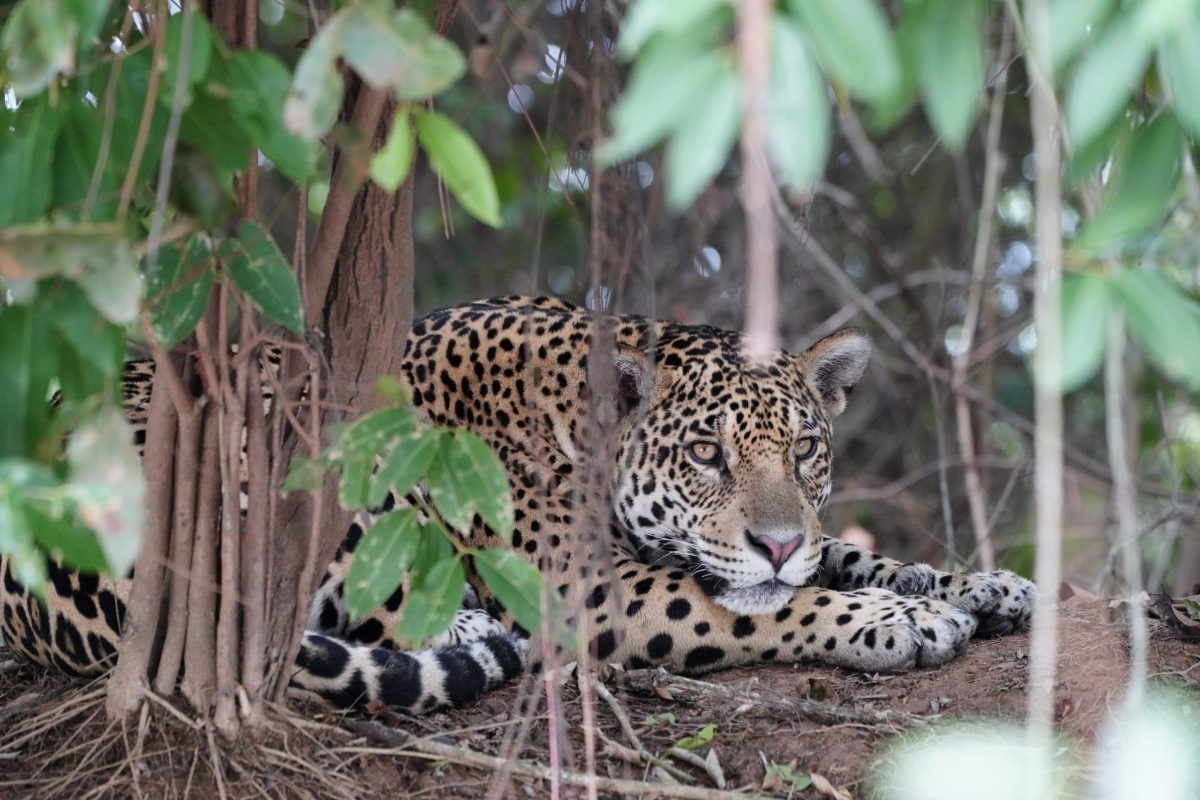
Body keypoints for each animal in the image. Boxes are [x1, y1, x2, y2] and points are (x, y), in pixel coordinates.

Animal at [0, 296, 1035, 714]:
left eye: (806, 450)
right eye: (706, 455)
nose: (777, 540)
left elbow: (845, 554)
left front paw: (977, 585)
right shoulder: (595, 588)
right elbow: (767, 604)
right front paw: (900, 620)